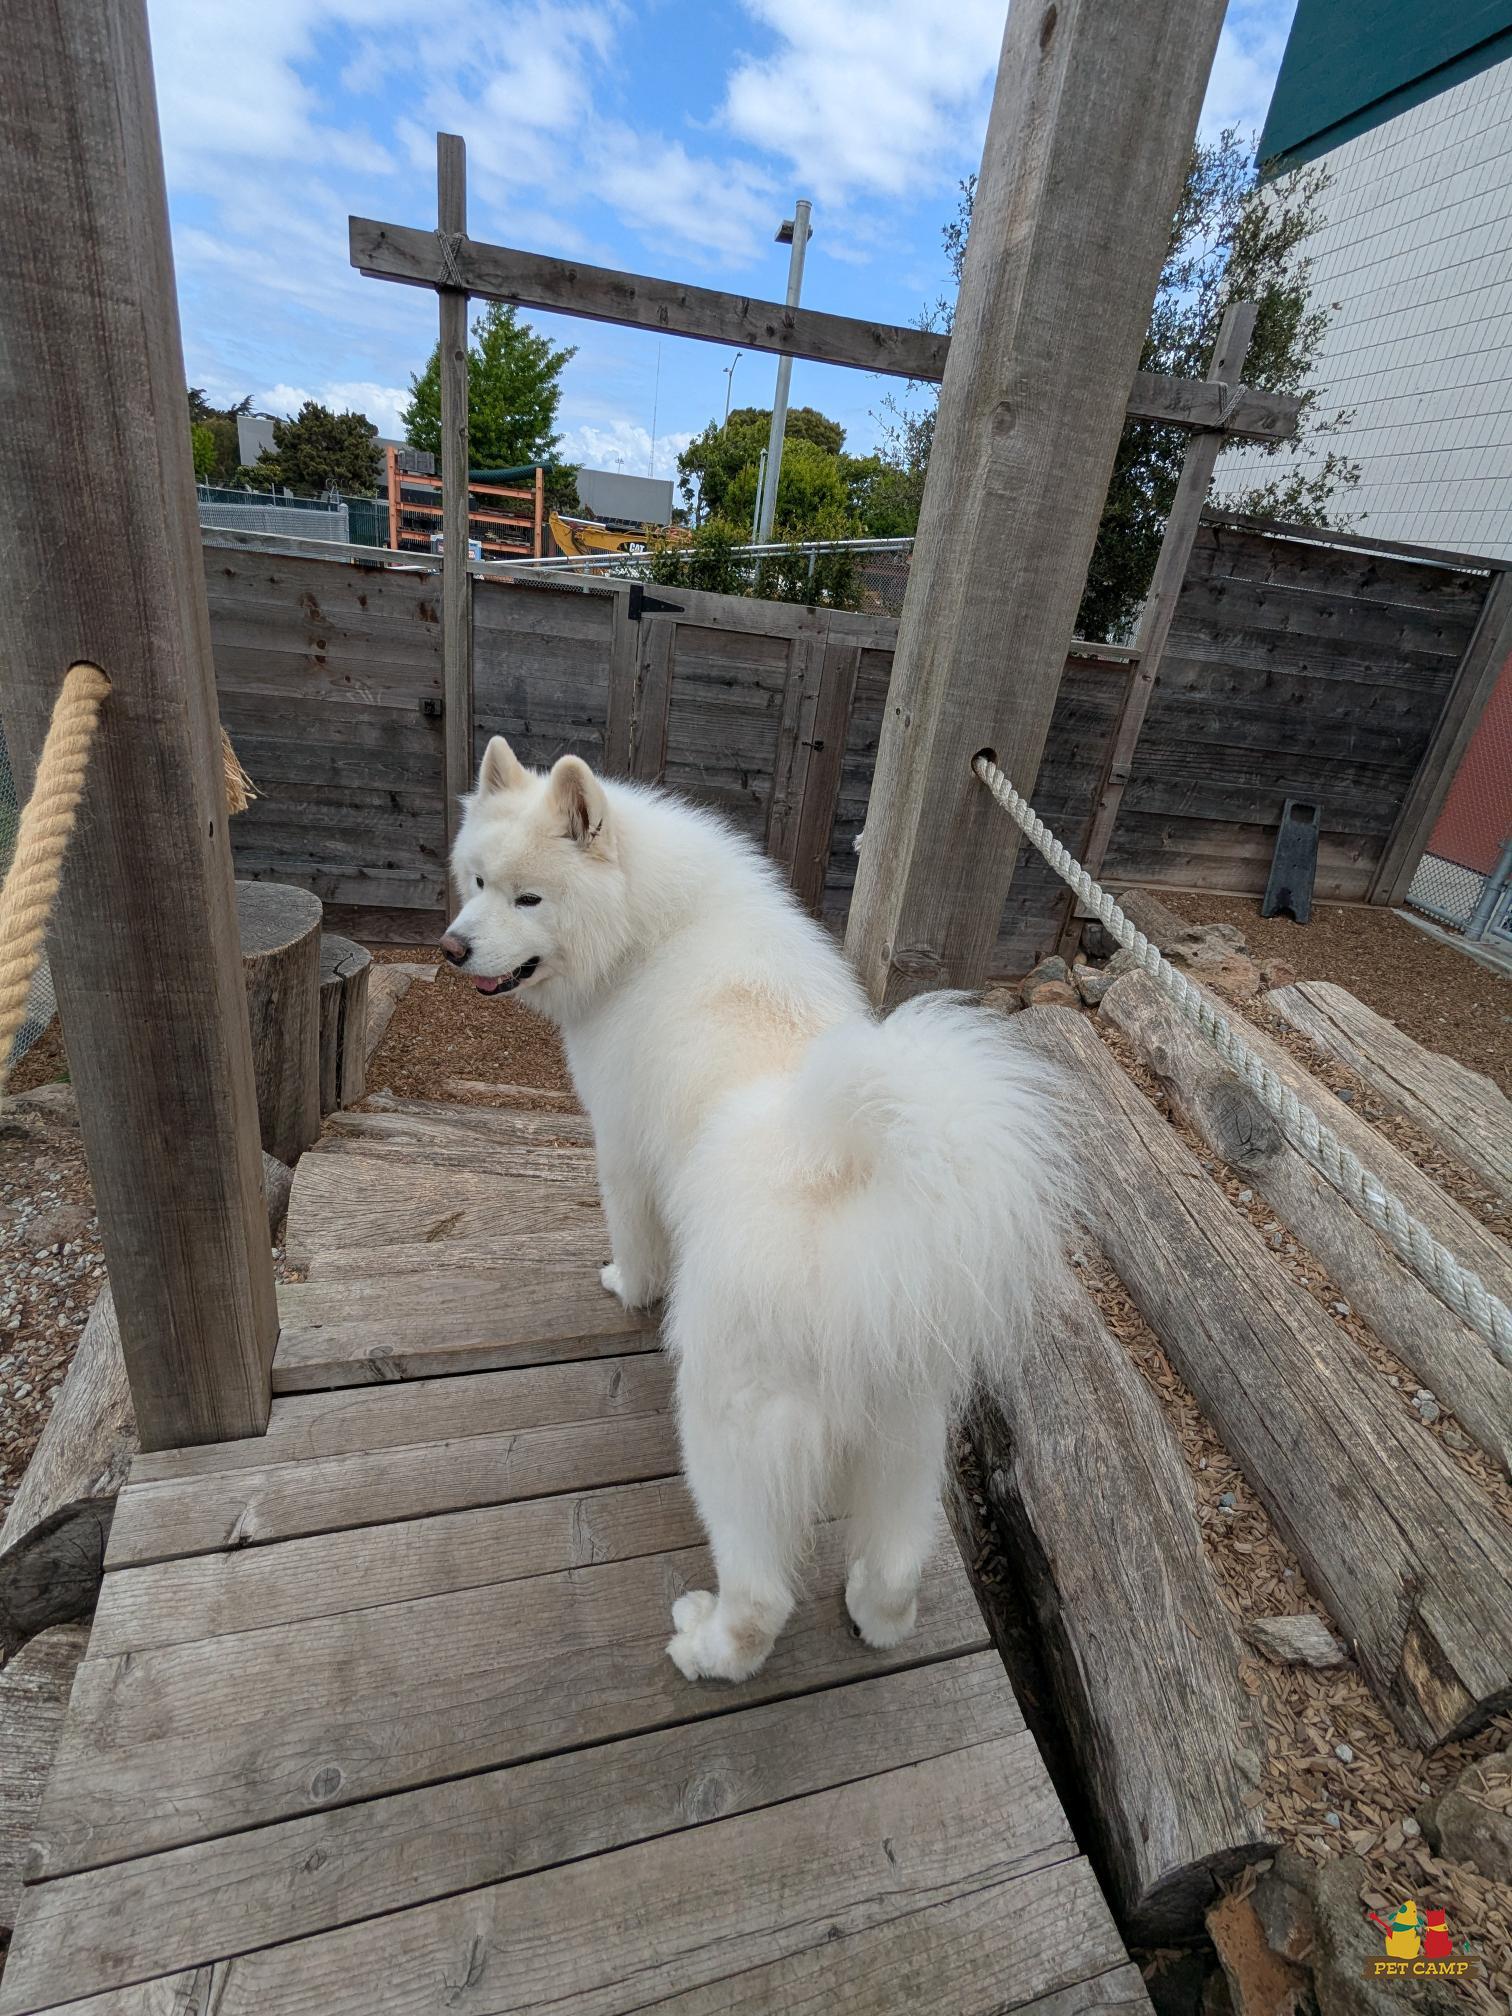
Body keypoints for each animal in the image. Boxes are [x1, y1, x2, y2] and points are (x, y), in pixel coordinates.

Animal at [442, 738, 1068, 1683]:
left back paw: (706, 1646)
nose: (452, 947)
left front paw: (624, 1285)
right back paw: (875, 1620)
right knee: (893, 1564)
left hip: (725, 1427)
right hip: (906, 1433)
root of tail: (855, 1214)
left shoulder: (621, 1152)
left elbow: (634, 1243)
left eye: (528, 898)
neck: (647, 931)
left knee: (762, 1595)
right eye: (475, 881)